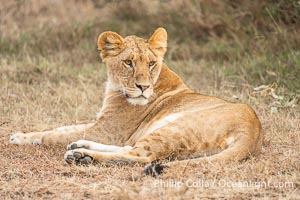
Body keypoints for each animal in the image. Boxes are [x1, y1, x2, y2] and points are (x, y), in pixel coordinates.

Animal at [9, 27, 262, 175]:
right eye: (128, 62)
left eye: (150, 63)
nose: (143, 87)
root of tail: (253, 132)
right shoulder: (103, 126)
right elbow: (65, 128)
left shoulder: (107, 131)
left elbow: (54, 134)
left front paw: (19, 138)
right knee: (131, 147)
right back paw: (80, 147)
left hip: (174, 127)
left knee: (140, 155)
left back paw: (83, 157)